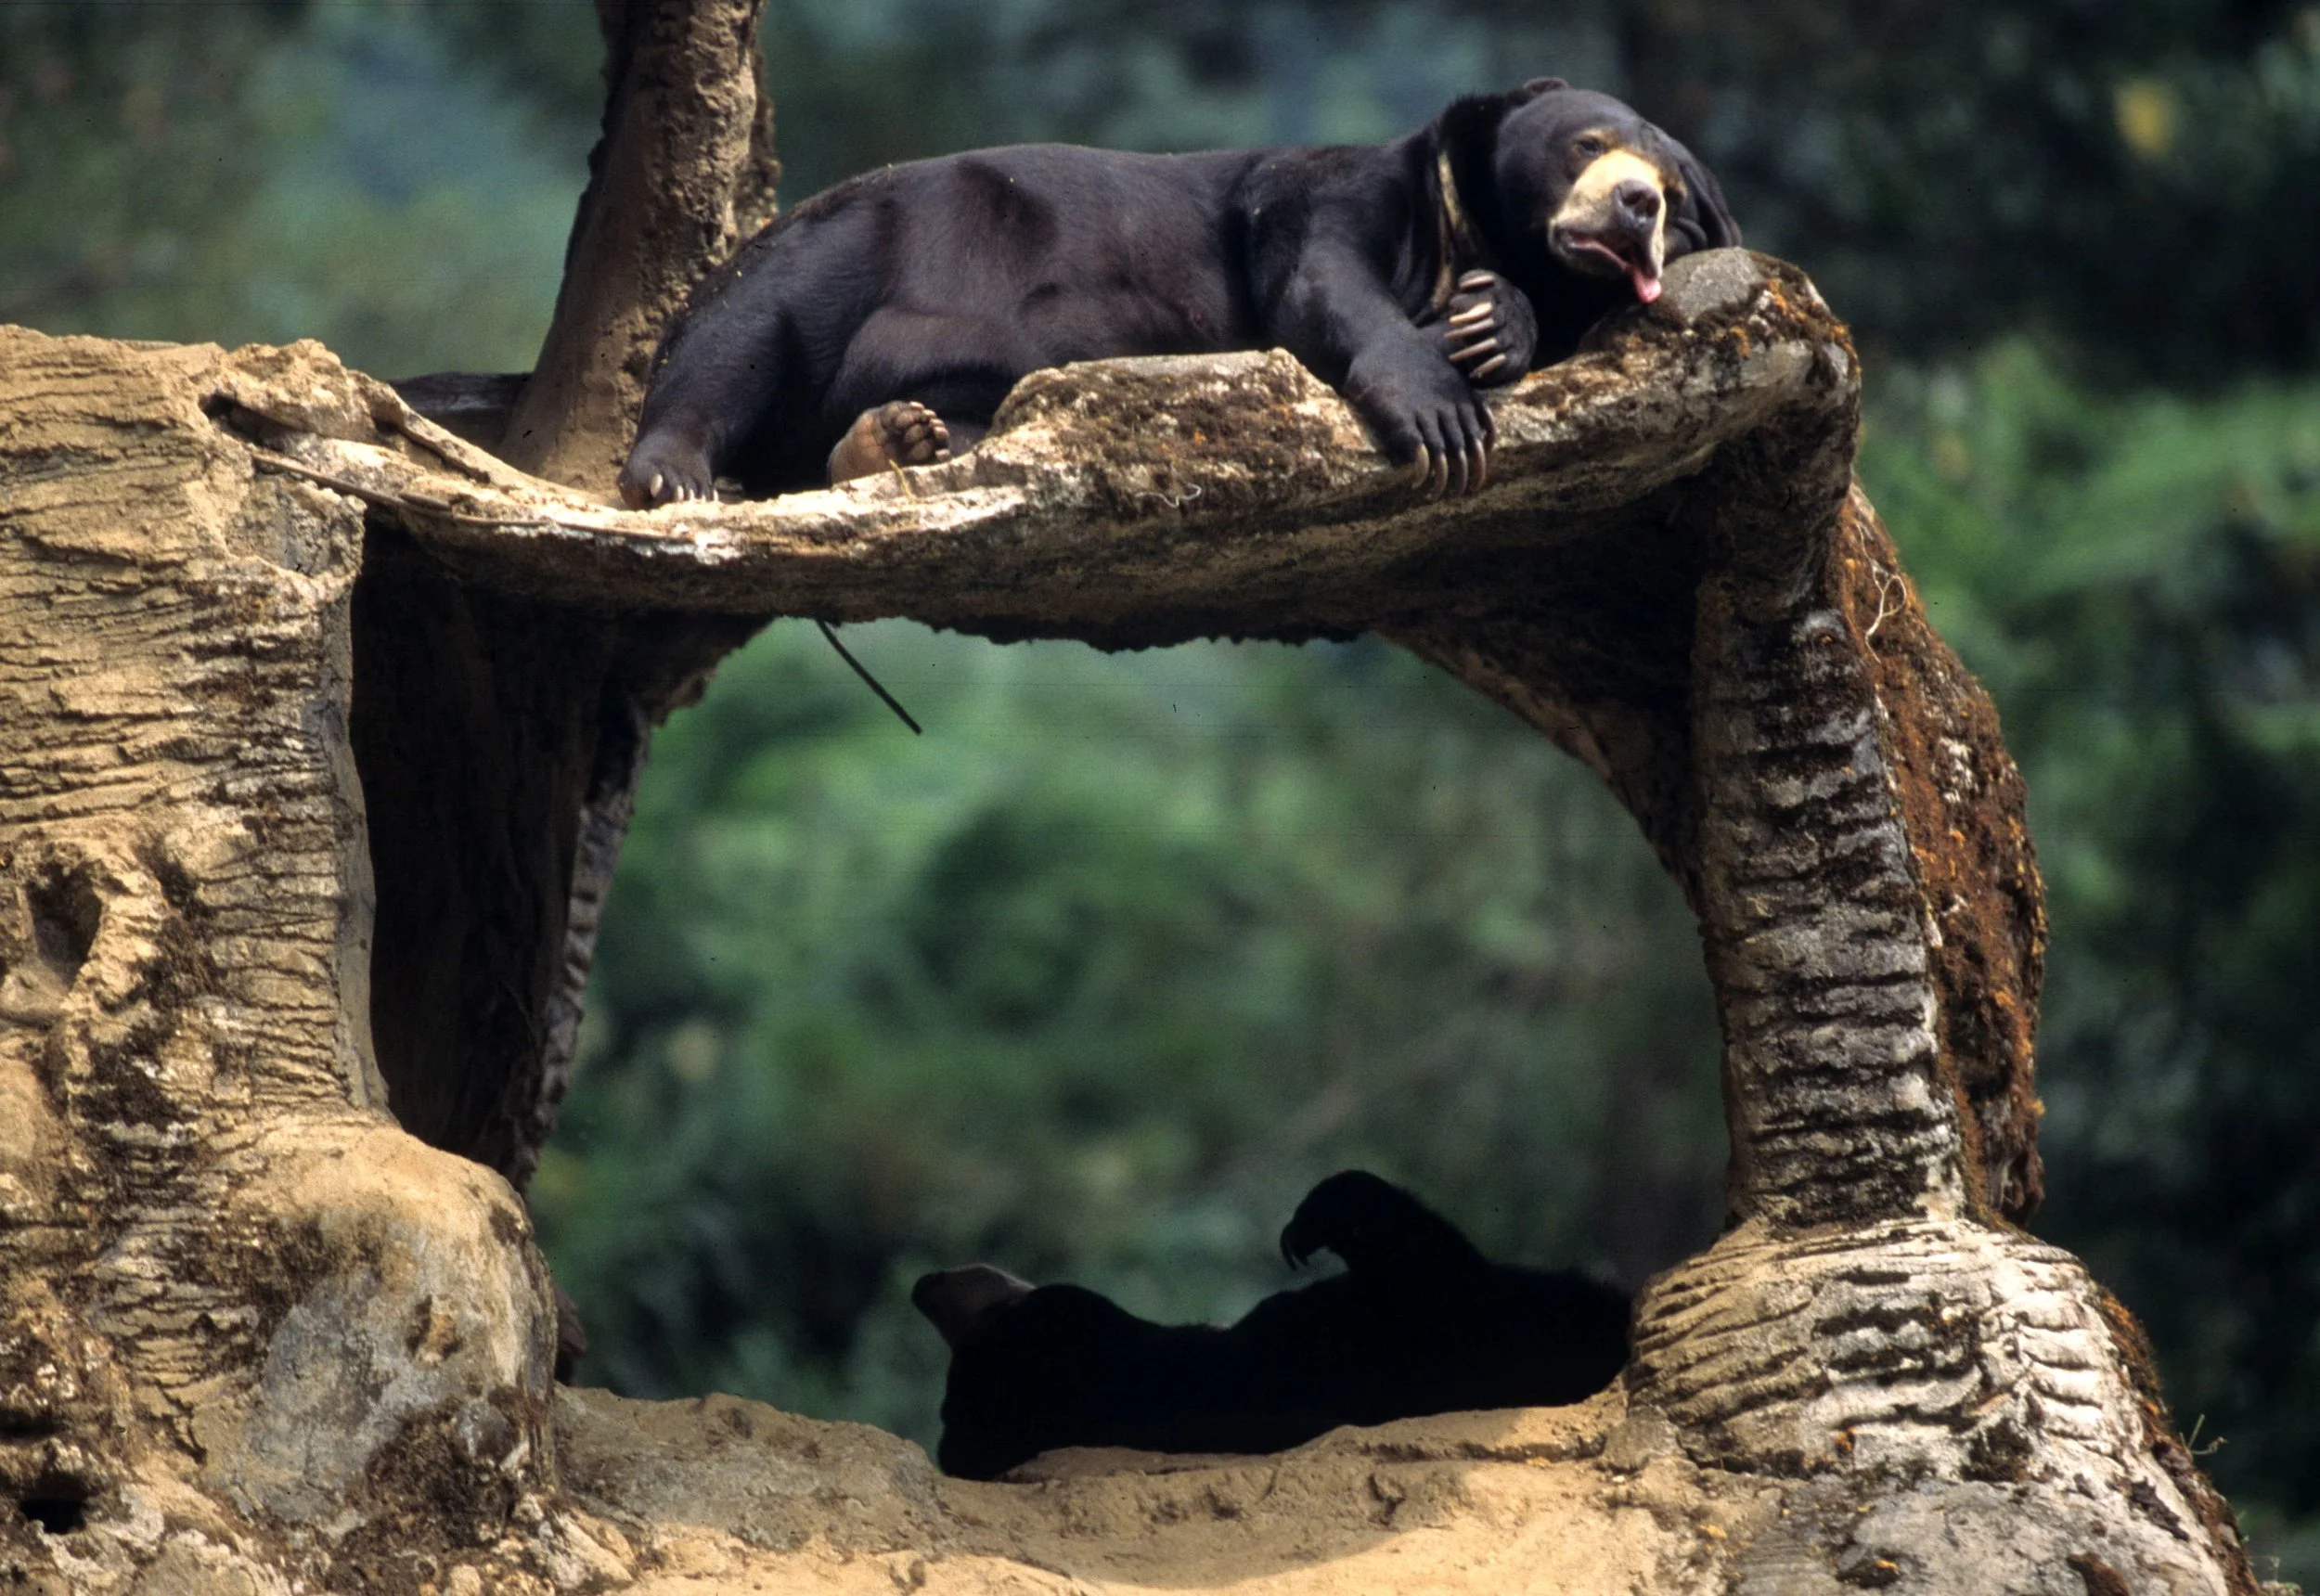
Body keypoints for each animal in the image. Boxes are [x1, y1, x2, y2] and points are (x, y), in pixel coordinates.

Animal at [618, 80, 1737, 508]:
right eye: (1588, 145)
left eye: (1679, 195)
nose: (1635, 202)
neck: (1456, 224)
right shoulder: (1324, 189)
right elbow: (1316, 279)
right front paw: (1443, 415)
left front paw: (1489, 324)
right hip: (844, 243)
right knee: (741, 338)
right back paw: (674, 474)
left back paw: (891, 438)